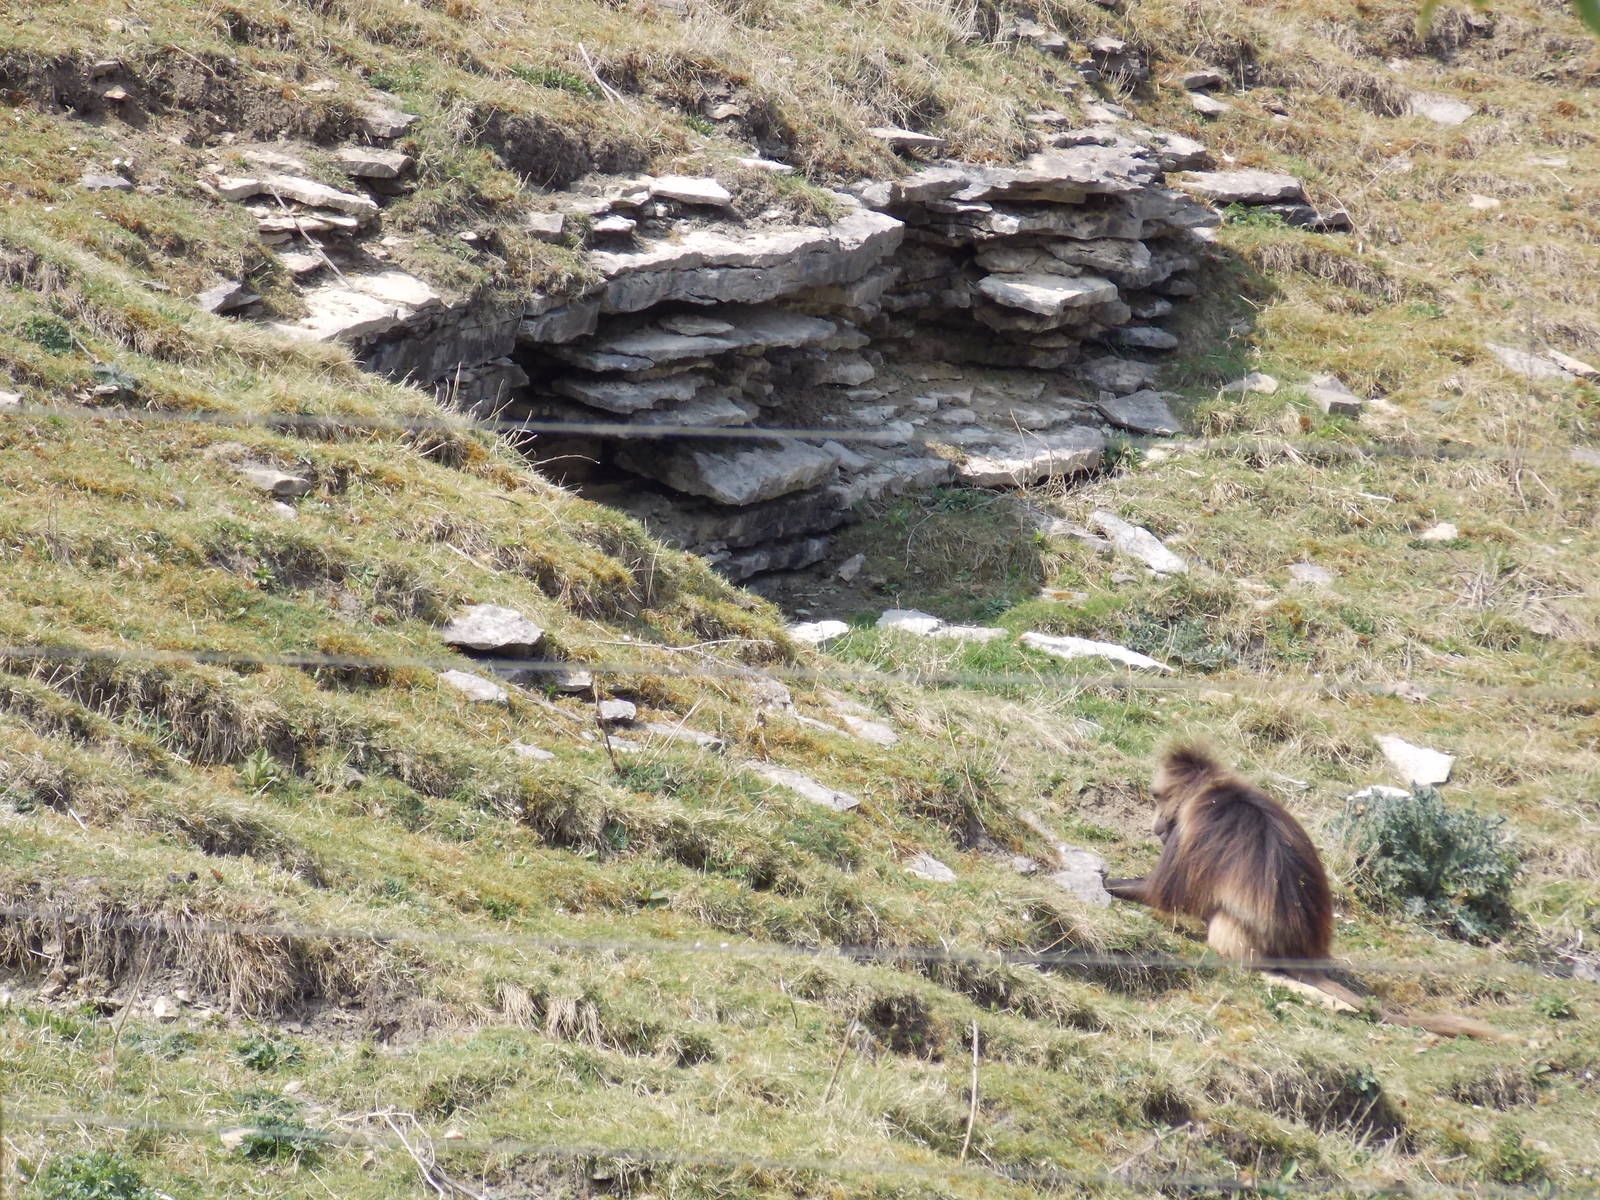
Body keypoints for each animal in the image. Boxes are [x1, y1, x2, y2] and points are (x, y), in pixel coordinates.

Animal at [1104, 743, 1511, 1041]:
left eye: (1158, 796)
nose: (1155, 825)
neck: (1214, 791)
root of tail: (1301, 951)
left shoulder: (1198, 824)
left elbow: (1165, 892)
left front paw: (1109, 883)